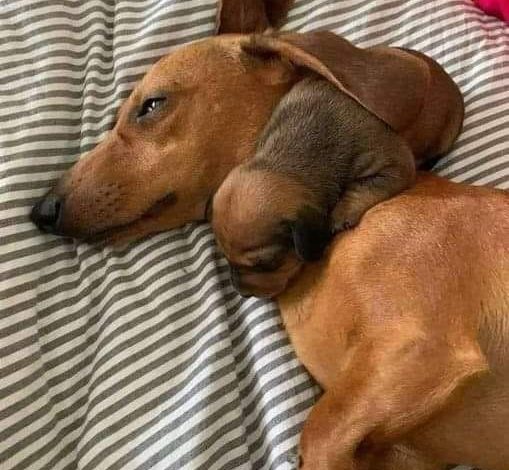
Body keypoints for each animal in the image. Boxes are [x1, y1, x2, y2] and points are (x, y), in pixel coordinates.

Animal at [209, 77, 412, 298]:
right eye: (225, 256)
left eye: (267, 264)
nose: (242, 293)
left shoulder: (394, 166)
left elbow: (365, 187)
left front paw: (342, 212)